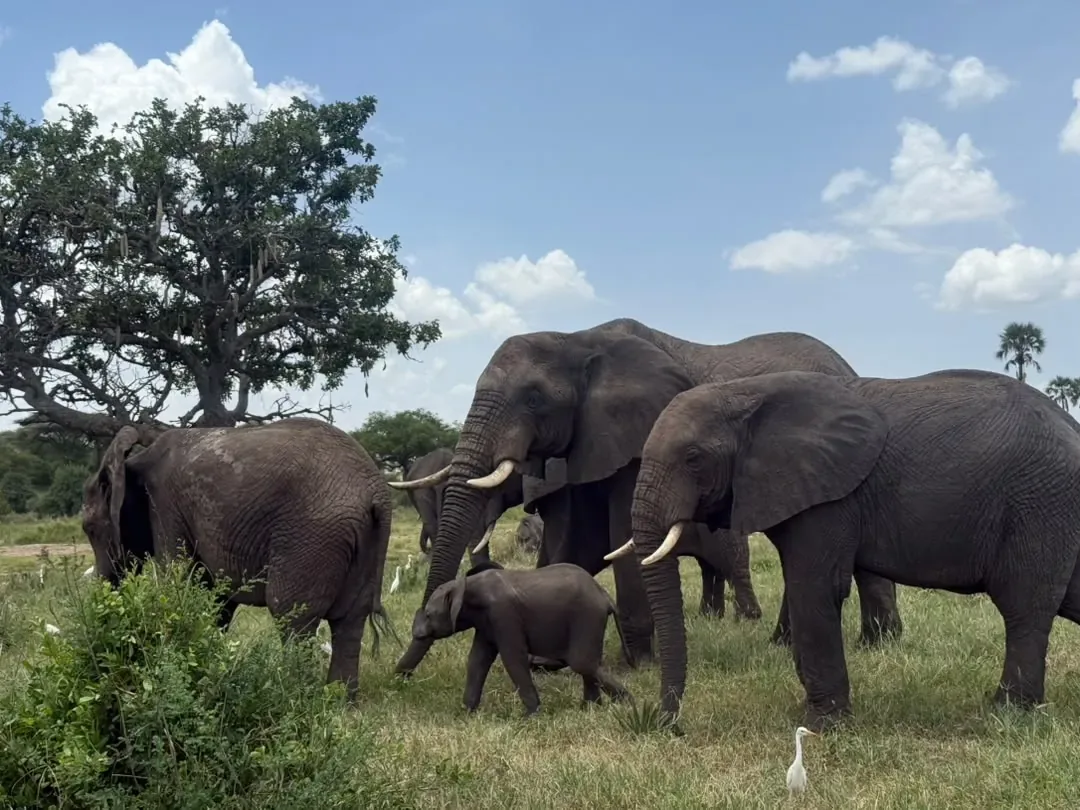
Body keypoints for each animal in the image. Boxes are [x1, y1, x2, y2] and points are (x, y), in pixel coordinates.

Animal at [80, 417, 394, 702]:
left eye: (89, 529)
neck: (134, 462)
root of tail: (376, 494)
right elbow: (215, 598)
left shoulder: (166, 509)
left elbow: (178, 582)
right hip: (362, 540)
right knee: (349, 621)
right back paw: (339, 702)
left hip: (313, 535)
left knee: (292, 615)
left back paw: (293, 698)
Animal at [391, 317, 901, 676]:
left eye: (533, 399)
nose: (407, 663)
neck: (578, 338)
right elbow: (573, 544)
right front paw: (547, 660)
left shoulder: (642, 433)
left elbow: (620, 535)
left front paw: (640, 664)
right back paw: (816, 642)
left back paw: (876, 645)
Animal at [412, 559, 632, 715]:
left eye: (429, 615)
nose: (416, 633)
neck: (467, 585)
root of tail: (605, 596)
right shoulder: (486, 622)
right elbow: (478, 659)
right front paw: (466, 713)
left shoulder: (504, 613)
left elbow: (512, 658)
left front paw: (531, 716)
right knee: (587, 664)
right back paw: (591, 709)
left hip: (587, 616)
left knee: (582, 663)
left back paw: (626, 704)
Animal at [629, 369, 1080, 730]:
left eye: (693, 457)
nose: (666, 724)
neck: (745, 392)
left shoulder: (830, 498)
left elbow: (815, 589)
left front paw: (820, 727)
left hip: (1040, 504)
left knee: (1023, 607)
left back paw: (1007, 714)